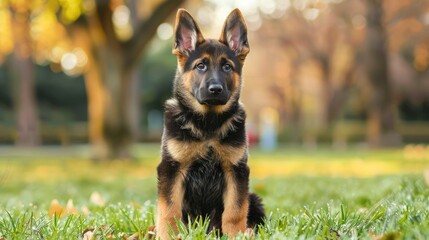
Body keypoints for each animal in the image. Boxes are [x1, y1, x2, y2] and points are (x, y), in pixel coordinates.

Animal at [157, 8, 264, 239]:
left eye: (227, 67)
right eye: (201, 66)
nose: (215, 89)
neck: (208, 124)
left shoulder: (236, 170)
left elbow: (235, 210)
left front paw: (236, 234)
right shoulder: (171, 168)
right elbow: (169, 209)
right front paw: (168, 234)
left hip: (254, 199)